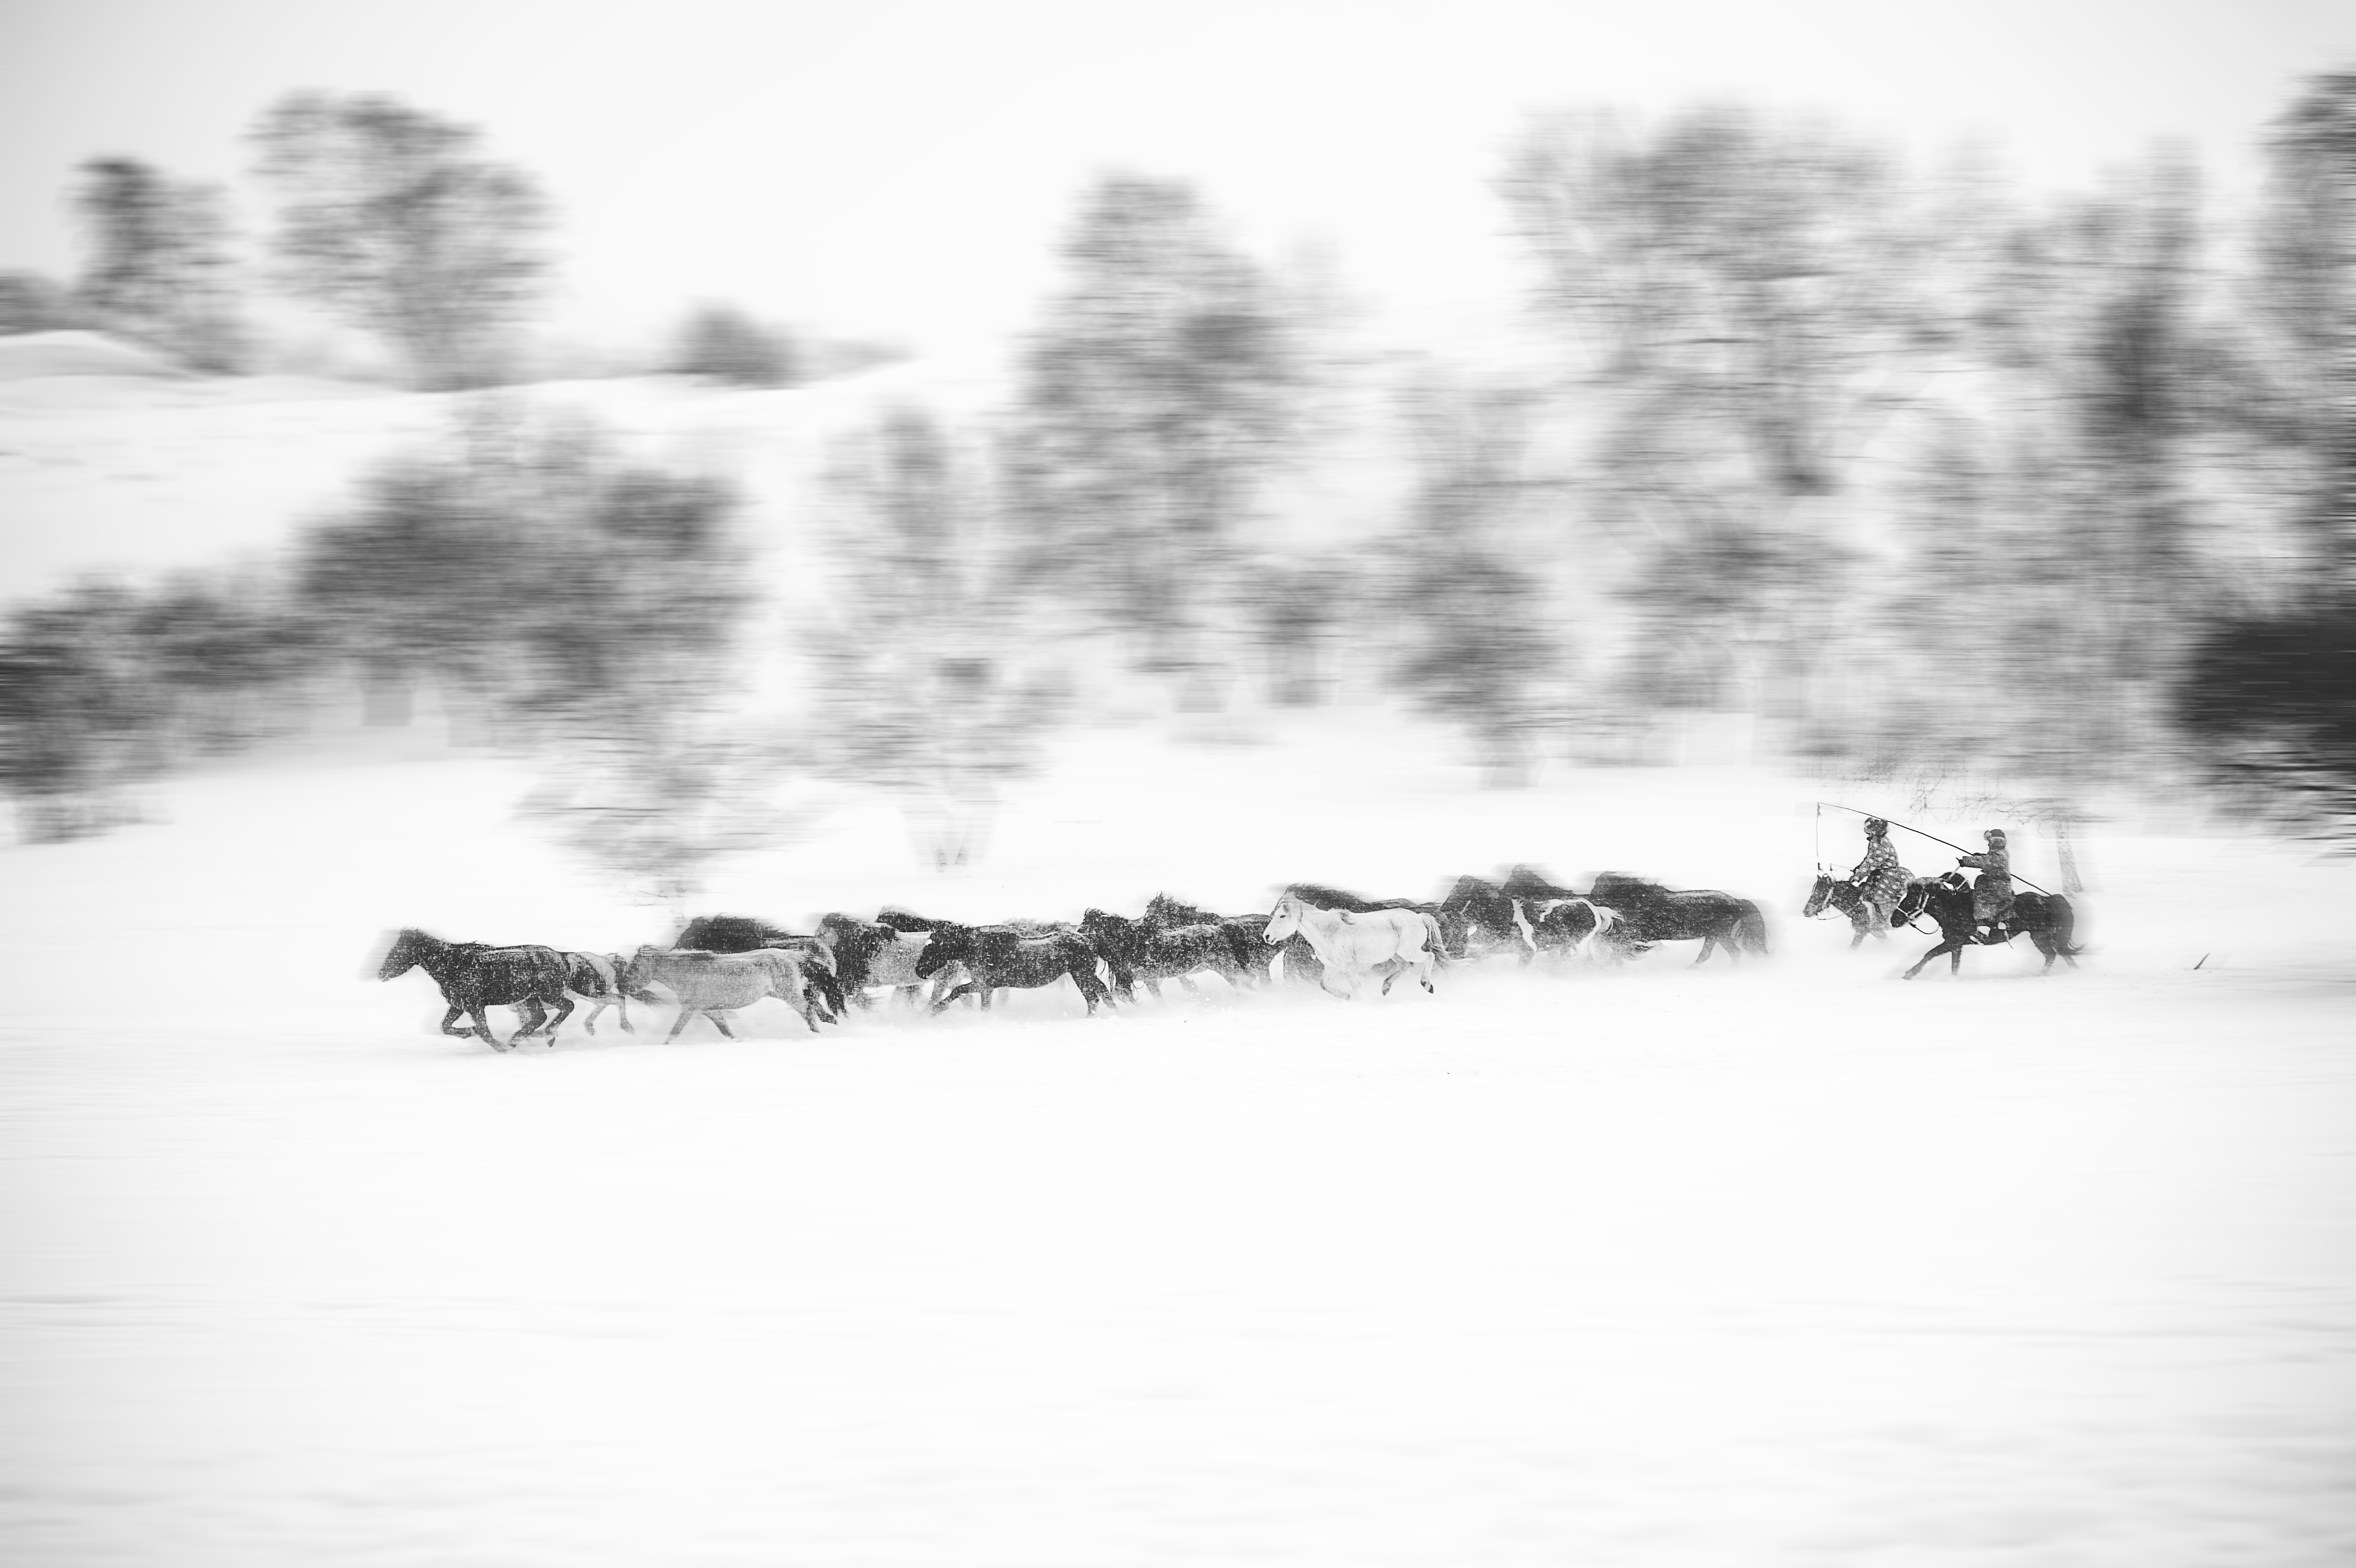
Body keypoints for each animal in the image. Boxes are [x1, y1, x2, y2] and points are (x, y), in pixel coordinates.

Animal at [1272, 885, 1432, 993]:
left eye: (1282, 915)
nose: (1268, 937)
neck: (1329, 930)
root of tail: (1420, 917)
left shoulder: (1348, 967)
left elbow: (1356, 987)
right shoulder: (1332, 967)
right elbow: (1324, 984)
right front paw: (1346, 997)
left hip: (1408, 952)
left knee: (1429, 957)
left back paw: (1427, 985)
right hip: (1396, 954)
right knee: (1406, 966)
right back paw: (1386, 988)